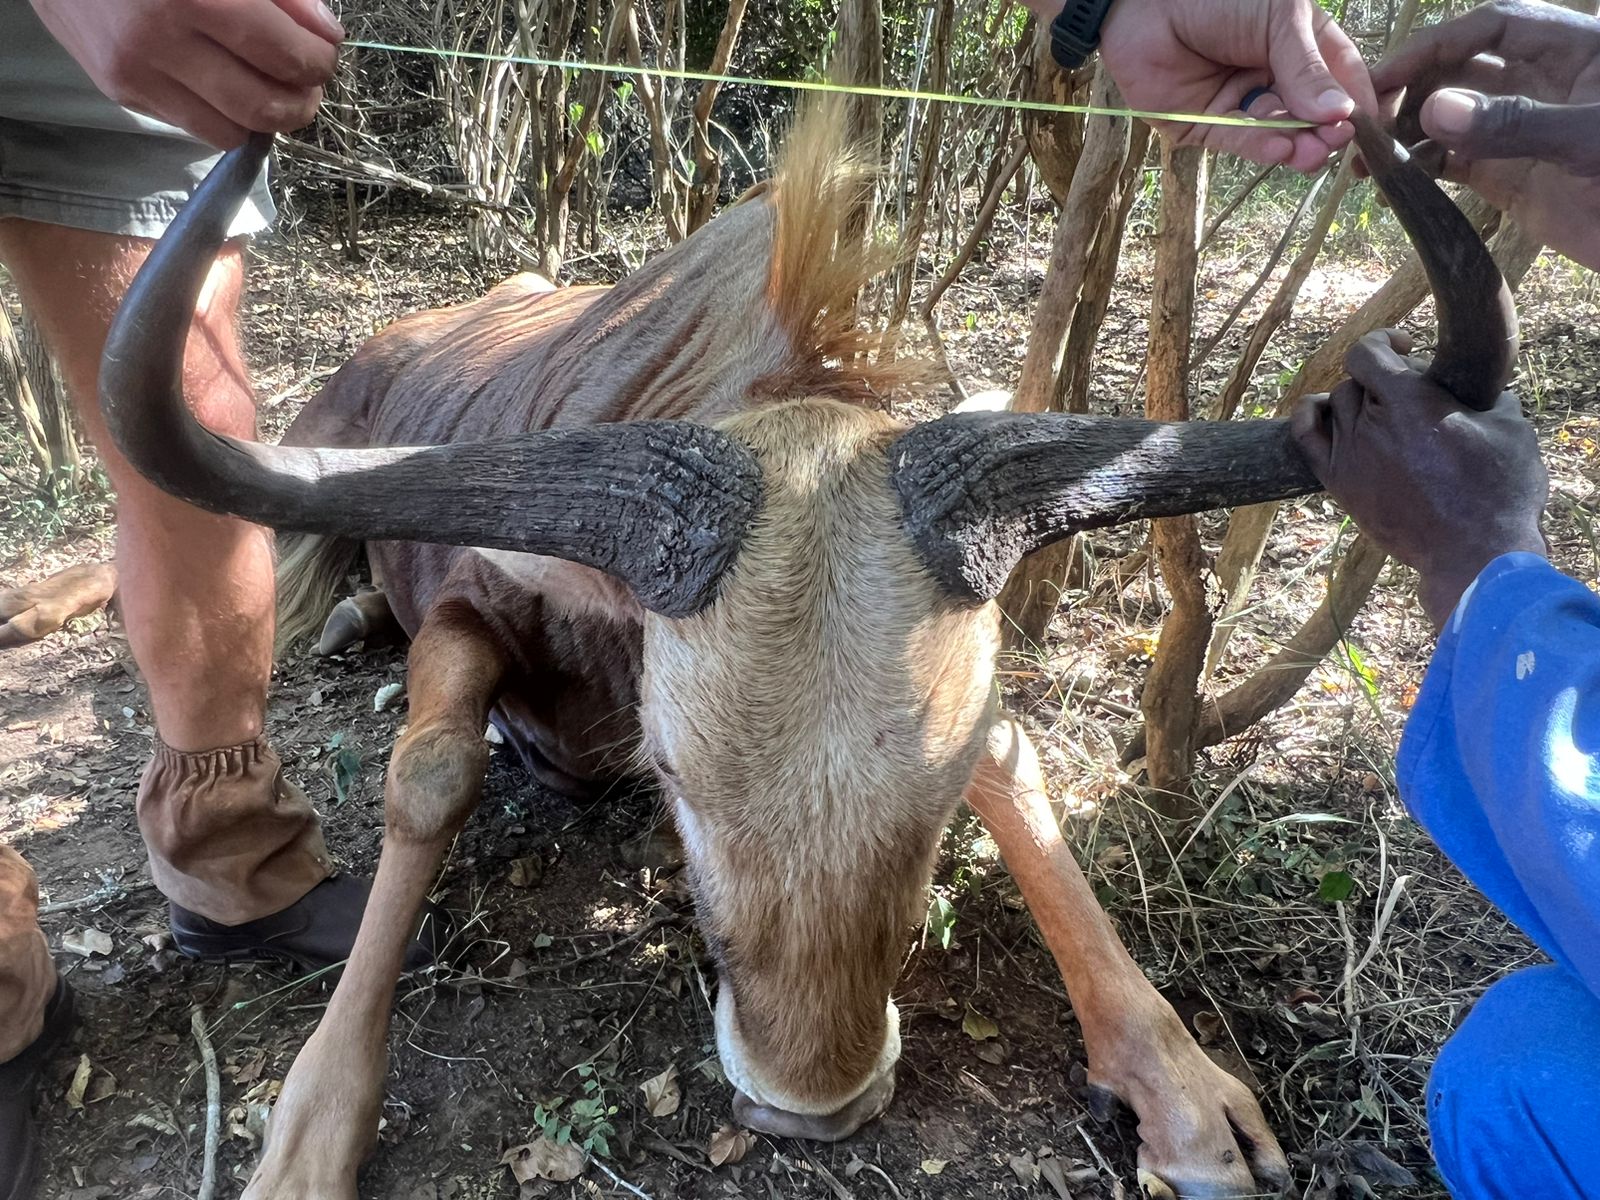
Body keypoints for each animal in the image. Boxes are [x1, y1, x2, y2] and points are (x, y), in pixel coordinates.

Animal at [94, 99, 1513, 1200]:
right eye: (670, 777)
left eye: (935, 800)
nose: (812, 1098)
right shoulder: (473, 612)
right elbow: (429, 776)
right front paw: (308, 1131)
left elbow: (1021, 775)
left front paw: (1175, 1084)